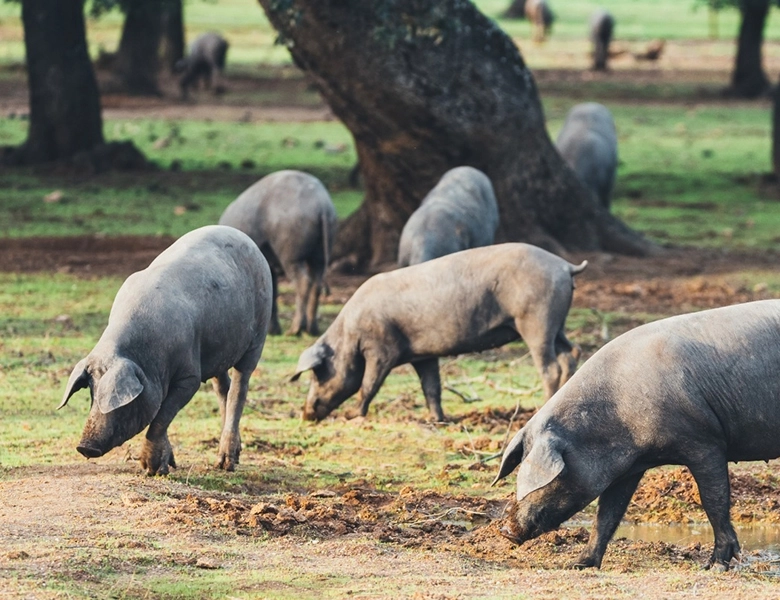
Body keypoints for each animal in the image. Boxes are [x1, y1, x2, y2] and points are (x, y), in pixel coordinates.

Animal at [58, 223, 272, 476]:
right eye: (91, 392)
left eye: (118, 402)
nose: (84, 446)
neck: (146, 357)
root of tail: (243, 236)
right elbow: (162, 412)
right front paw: (168, 466)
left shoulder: (189, 376)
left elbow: (162, 415)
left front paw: (151, 469)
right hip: (219, 348)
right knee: (223, 388)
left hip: (258, 334)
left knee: (240, 386)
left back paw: (225, 465)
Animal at [219, 171, 342, 336]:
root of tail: (322, 205)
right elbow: (273, 291)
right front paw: (274, 330)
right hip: (320, 254)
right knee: (316, 282)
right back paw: (312, 329)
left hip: (291, 255)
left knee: (303, 281)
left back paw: (295, 329)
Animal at [292, 243, 584, 422]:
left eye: (318, 374)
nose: (305, 413)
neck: (348, 335)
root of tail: (564, 266)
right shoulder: (423, 355)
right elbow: (432, 386)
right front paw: (436, 419)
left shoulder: (381, 348)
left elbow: (369, 383)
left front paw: (354, 416)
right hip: (556, 322)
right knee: (571, 352)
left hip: (536, 319)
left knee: (550, 366)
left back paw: (541, 406)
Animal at [496, 300, 780, 572]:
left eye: (536, 477)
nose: (505, 530)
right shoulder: (628, 468)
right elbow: (607, 515)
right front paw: (577, 564)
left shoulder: (705, 443)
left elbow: (714, 501)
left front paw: (715, 567)